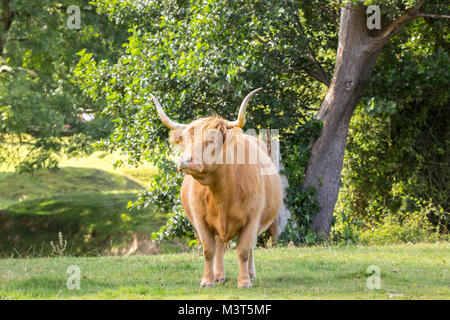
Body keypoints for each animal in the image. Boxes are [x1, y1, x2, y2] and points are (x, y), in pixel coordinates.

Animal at [151, 89, 282, 288]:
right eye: (184, 142)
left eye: (212, 140)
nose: (185, 161)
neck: (222, 194)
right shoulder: (200, 218)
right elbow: (208, 250)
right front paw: (207, 280)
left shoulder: (252, 218)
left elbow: (244, 250)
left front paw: (244, 282)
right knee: (220, 245)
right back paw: (219, 275)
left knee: (250, 247)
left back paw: (251, 273)